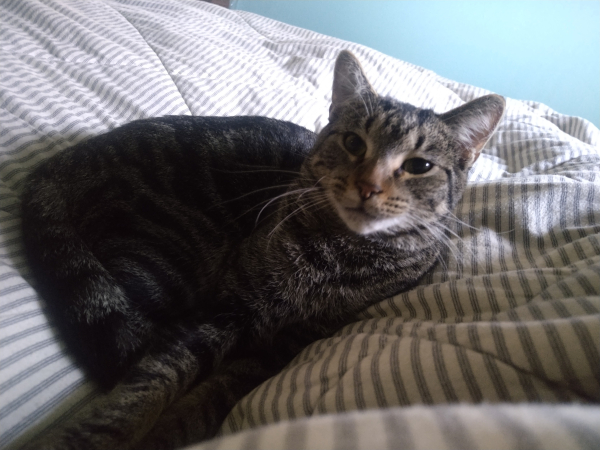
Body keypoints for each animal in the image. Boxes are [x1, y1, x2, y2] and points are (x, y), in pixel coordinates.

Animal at [21, 51, 504, 448]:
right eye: (353, 143)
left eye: (419, 166)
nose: (368, 186)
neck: (335, 255)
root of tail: (66, 158)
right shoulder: (227, 310)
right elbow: (153, 380)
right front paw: (96, 436)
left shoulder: (282, 348)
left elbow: (207, 400)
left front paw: (166, 432)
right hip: (162, 267)